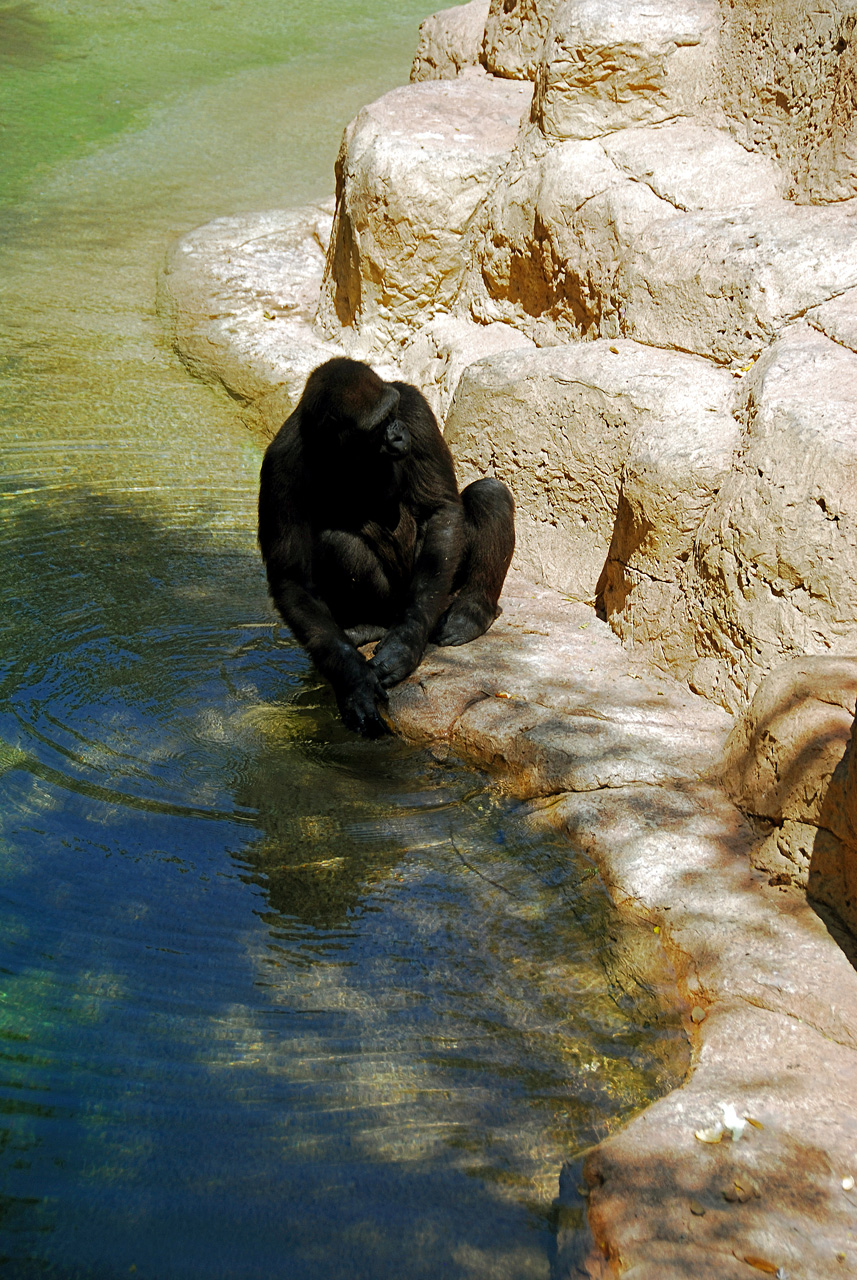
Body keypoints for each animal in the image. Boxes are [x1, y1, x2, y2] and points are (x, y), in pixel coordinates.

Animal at [258, 360, 516, 742]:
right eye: (379, 425)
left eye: (393, 414)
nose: (397, 434)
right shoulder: (280, 465)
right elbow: (292, 579)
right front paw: (354, 681)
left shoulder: (413, 406)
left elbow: (441, 510)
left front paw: (405, 646)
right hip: (389, 603)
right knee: (338, 542)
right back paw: (369, 626)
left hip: (443, 593)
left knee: (488, 495)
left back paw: (471, 612)